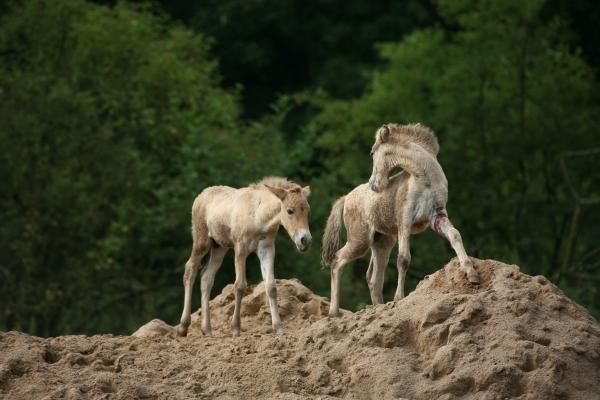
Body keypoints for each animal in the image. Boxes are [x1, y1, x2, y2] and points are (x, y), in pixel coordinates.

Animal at [324, 123, 478, 318]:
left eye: (372, 152)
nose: (373, 184)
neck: (425, 176)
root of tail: (346, 198)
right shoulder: (405, 218)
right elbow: (403, 258)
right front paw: (399, 298)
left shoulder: (438, 214)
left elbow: (455, 235)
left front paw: (472, 274)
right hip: (360, 241)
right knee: (337, 260)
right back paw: (334, 312)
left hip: (382, 242)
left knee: (373, 277)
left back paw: (377, 307)